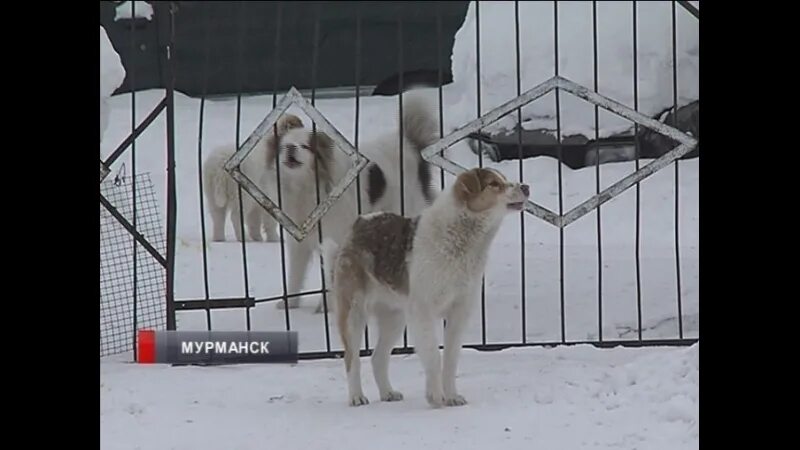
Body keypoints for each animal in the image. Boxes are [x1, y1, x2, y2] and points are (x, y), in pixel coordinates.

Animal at [332, 166, 532, 408]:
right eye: (494, 184)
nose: (526, 187)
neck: (462, 239)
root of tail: (361, 221)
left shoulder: (459, 312)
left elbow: (451, 359)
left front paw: (451, 396)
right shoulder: (423, 311)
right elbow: (434, 356)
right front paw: (436, 397)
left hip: (394, 317)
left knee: (378, 357)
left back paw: (388, 393)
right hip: (353, 312)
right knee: (351, 357)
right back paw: (356, 396)